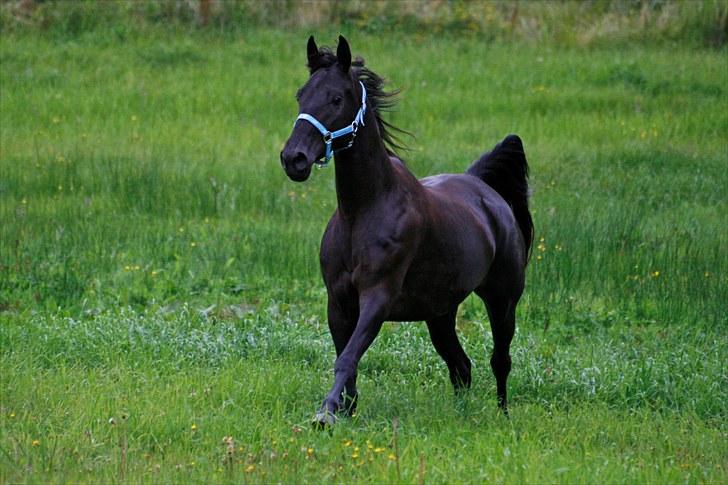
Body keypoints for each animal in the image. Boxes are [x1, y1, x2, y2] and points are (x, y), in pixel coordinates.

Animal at [280, 35, 536, 428]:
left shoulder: (377, 298)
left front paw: (327, 413)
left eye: (336, 98)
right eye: (301, 95)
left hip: (503, 300)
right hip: (440, 313)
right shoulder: (338, 301)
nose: (294, 159)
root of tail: (485, 192)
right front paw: (346, 408)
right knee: (461, 367)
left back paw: (502, 414)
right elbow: (346, 358)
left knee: (499, 360)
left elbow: (348, 357)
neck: (364, 211)